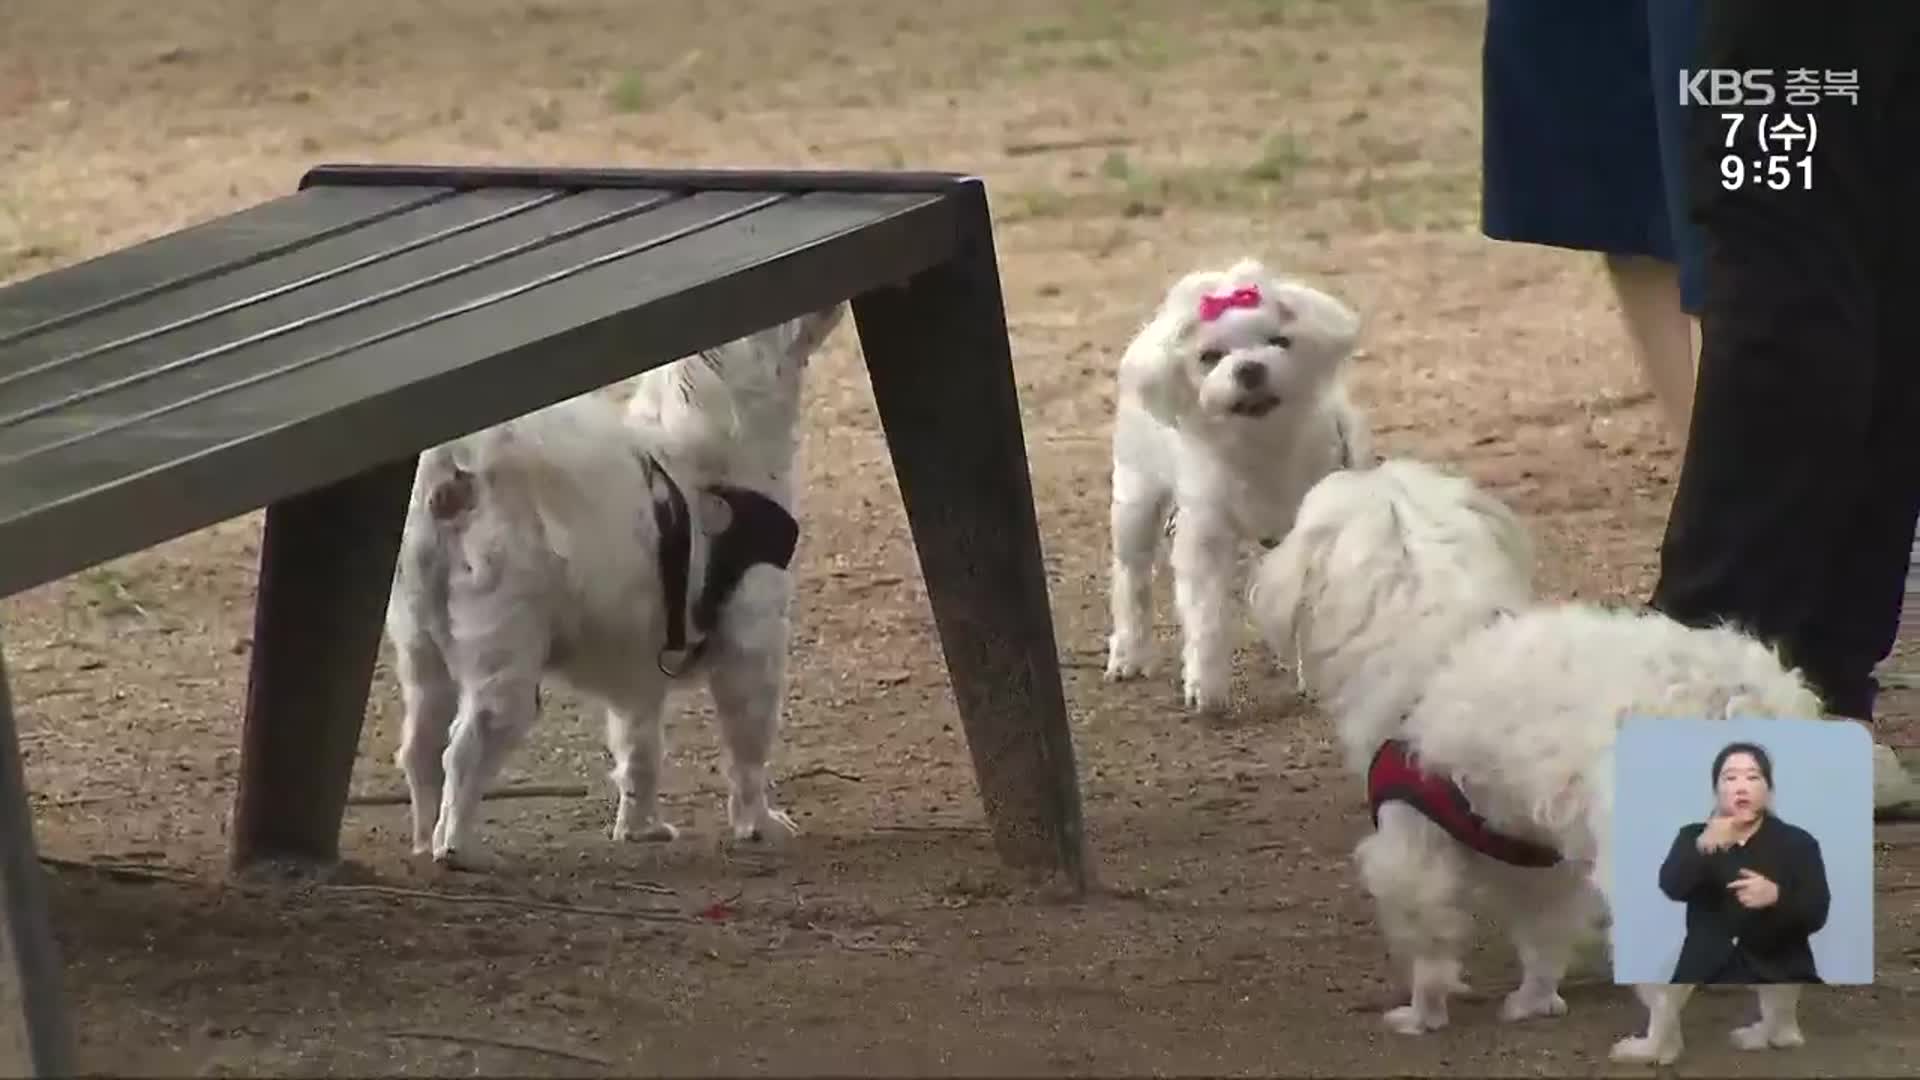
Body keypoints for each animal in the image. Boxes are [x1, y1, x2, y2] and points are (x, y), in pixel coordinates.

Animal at [378, 303, 844, 864]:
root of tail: (456, 477)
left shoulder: (639, 672)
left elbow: (639, 751)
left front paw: (640, 827)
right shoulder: (751, 647)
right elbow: (748, 751)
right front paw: (758, 823)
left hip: (422, 652)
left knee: (420, 750)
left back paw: (424, 840)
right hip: (504, 659)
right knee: (464, 750)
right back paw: (457, 849)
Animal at [1105, 251, 1374, 707]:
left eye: (1279, 341)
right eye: (1209, 356)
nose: (1250, 368)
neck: (1261, 446)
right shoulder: (1204, 536)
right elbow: (1206, 615)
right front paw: (1206, 685)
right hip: (1136, 499)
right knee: (1132, 577)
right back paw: (1129, 652)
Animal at [1251, 455, 1820, 1060]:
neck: (1440, 636)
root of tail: (1732, 700)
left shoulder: (1411, 842)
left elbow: (1429, 947)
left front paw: (1423, 1014)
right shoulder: (1533, 857)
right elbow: (1542, 936)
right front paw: (1535, 1002)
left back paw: (1652, 1046)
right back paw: (1771, 1032)